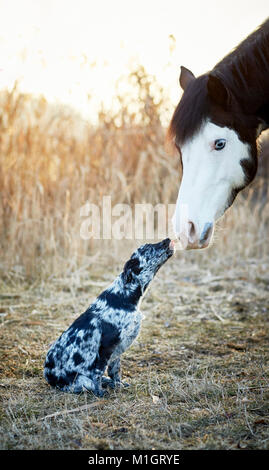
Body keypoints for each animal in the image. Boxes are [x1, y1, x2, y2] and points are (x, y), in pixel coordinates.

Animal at [44, 237, 174, 394]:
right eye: (148, 247)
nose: (167, 239)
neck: (123, 296)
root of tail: (49, 378)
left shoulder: (117, 349)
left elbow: (114, 371)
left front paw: (118, 384)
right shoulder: (106, 346)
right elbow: (98, 372)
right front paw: (99, 392)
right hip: (81, 380)